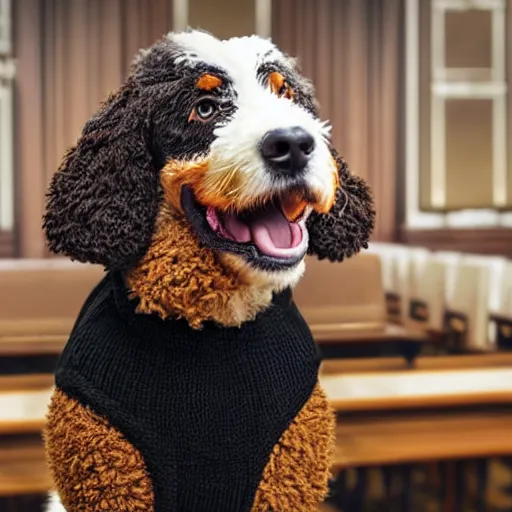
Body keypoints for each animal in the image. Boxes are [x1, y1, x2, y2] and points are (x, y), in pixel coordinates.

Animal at [43, 30, 372, 510]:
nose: (294, 144)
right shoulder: (107, 473)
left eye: (286, 94)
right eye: (205, 108)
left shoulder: (287, 474)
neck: (211, 325)